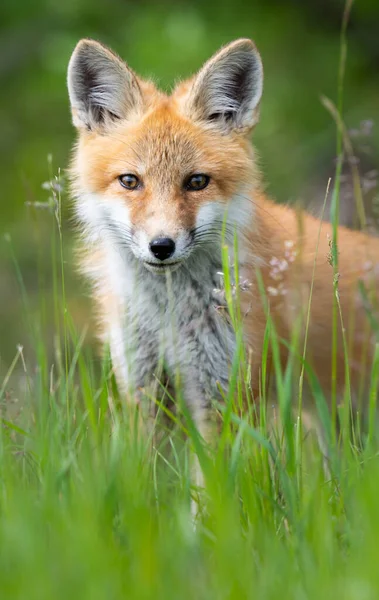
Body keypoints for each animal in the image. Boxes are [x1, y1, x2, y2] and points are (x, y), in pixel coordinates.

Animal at [67, 38, 379, 474]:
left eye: (197, 182)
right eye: (130, 181)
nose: (161, 246)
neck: (170, 316)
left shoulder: (223, 395)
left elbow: (211, 488)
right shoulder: (142, 389)